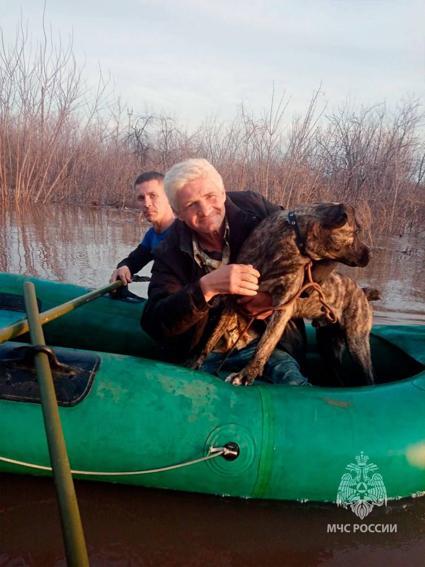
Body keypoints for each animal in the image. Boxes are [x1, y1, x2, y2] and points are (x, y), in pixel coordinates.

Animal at [191, 206, 372, 388]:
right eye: (356, 231)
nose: (370, 255)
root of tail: (362, 292)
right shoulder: (233, 300)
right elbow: (211, 338)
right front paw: (195, 362)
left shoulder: (282, 307)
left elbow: (264, 344)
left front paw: (245, 375)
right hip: (329, 347)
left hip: (357, 343)